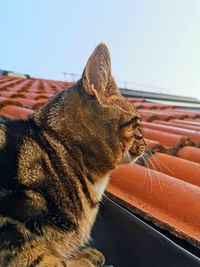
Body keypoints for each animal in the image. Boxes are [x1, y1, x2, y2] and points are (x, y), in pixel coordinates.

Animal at [0, 44, 145, 267]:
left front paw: (83, 255)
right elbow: (38, 258)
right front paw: (77, 260)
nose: (146, 142)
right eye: (138, 122)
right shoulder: (11, 224)